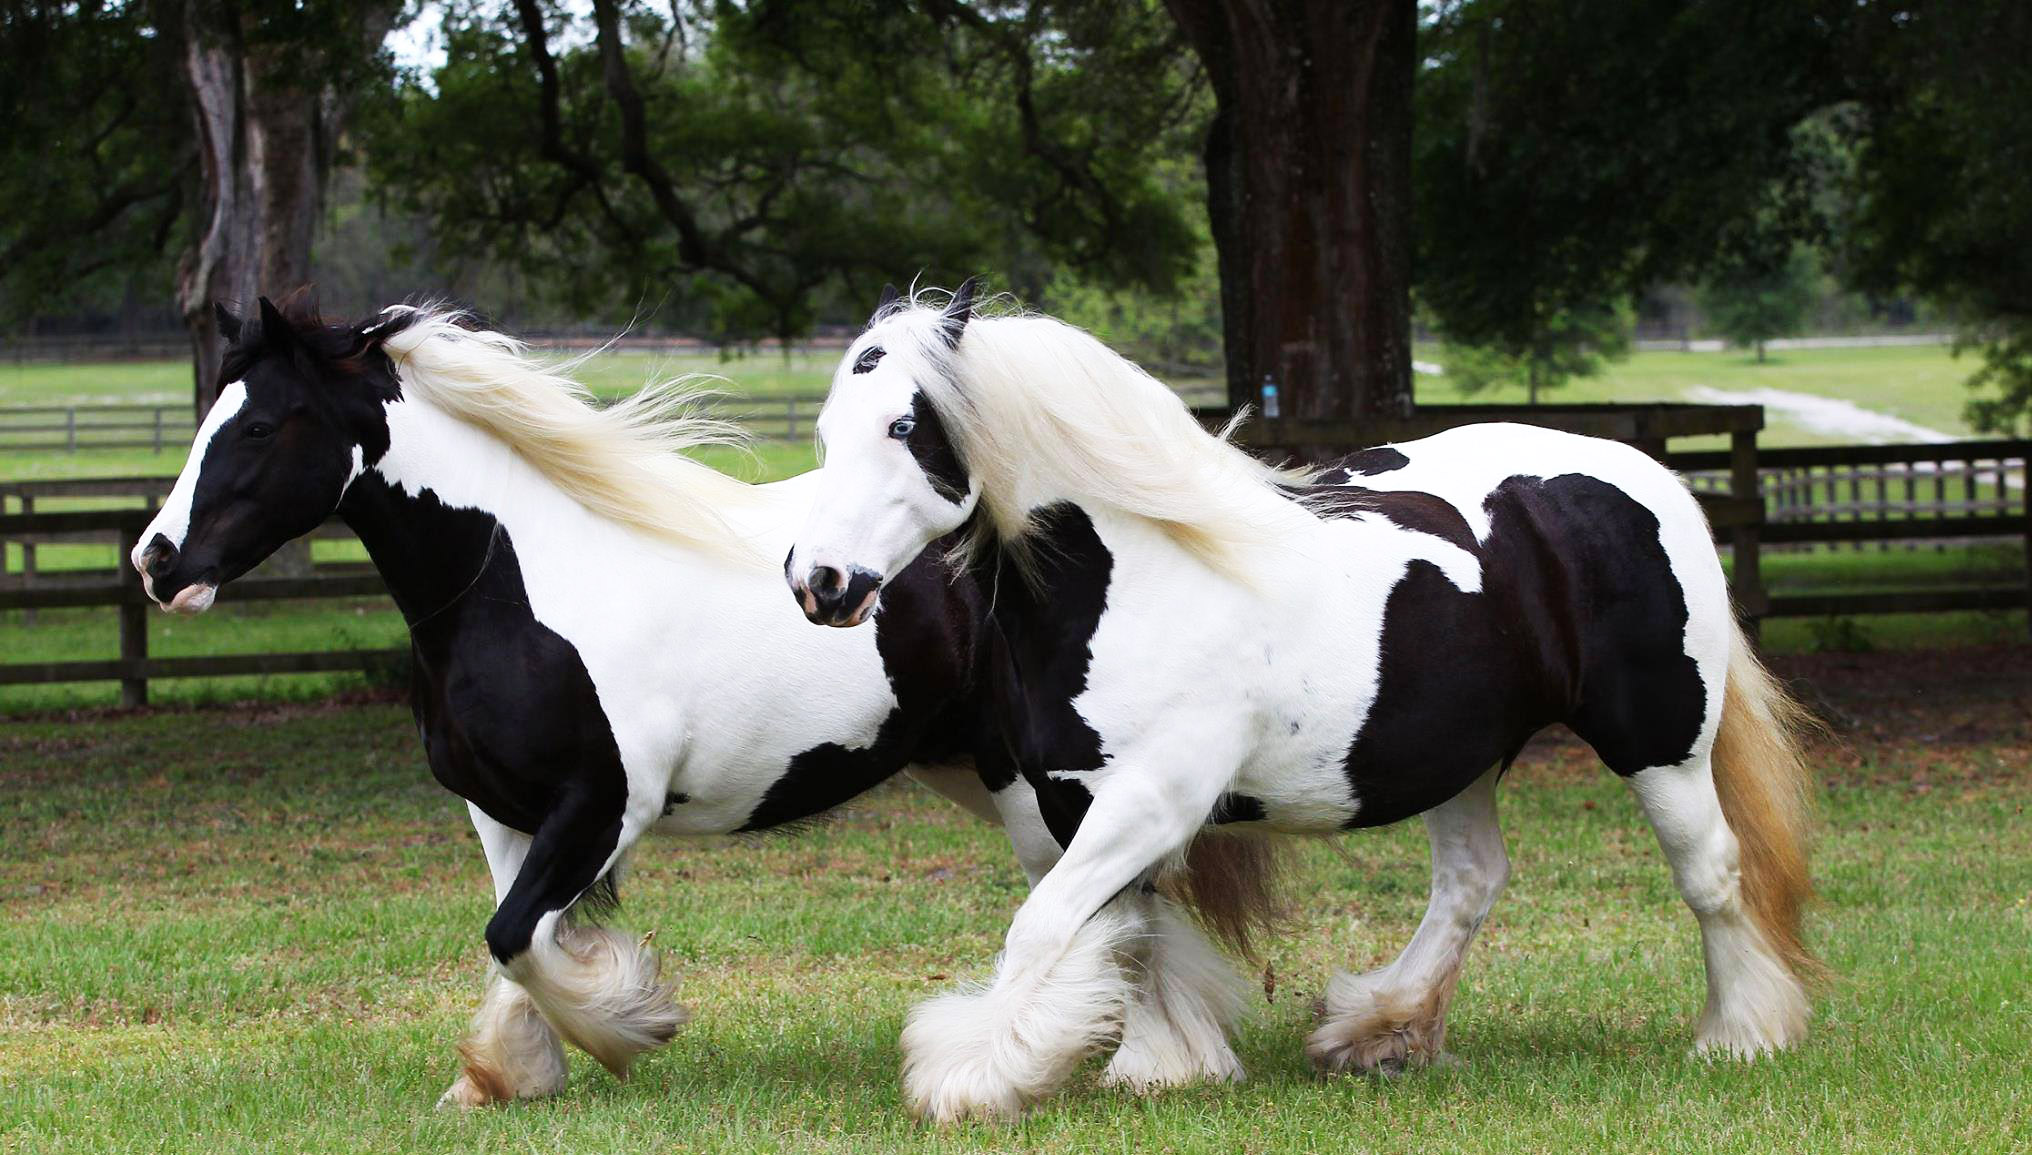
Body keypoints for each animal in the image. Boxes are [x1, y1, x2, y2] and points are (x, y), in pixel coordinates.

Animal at [129, 296, 1081, 1106]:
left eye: (257, 424)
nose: (156, 561)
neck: (517, 587)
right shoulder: (500, 812)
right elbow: (515, 936)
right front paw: (507, 1074)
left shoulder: (604, 808)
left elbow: (517, 935)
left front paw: (629, 1021)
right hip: (967, 767)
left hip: (1031, 781)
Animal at [784, 284, 1820, 1122]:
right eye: (828, 430)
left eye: (904, 427)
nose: (818, 583)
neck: (1136, 579)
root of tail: (1647, 475)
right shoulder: (1077, 801)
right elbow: (1126, 935)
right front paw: (1169, 1066)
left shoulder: (1149, 800)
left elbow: (1046, 925)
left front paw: (970, 1076)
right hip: (1460, 754)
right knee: (1472, 879)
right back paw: (1379, 1030)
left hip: (1661, 741)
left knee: (1711, 870)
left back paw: (1741, 1033)